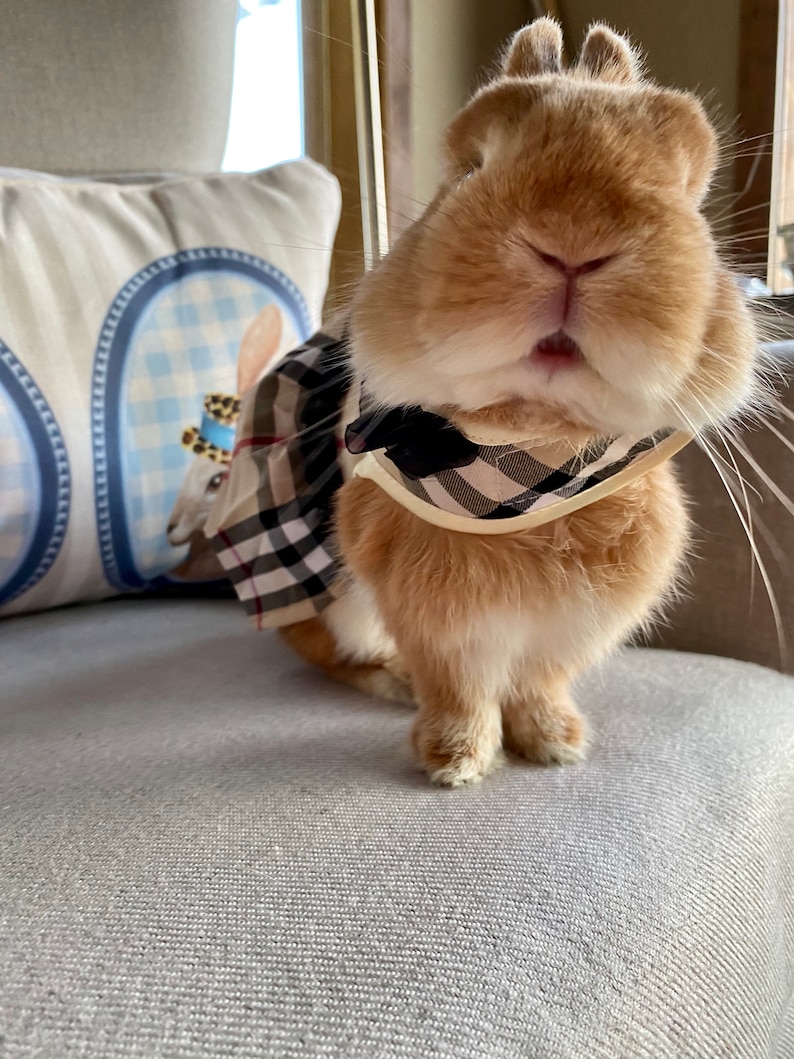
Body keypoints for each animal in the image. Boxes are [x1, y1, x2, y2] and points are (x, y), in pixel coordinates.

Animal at [278, 19, 761, 786]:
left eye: (689, 191)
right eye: (469, 169)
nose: (575, 242)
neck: (528, 454)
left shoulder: (573, 622)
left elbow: (539, 680)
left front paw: (556, 743)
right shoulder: (433, 615)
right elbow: (459, 685)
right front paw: (454, 762)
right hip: (333, 605)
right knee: (332, 653)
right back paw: (393, 682)